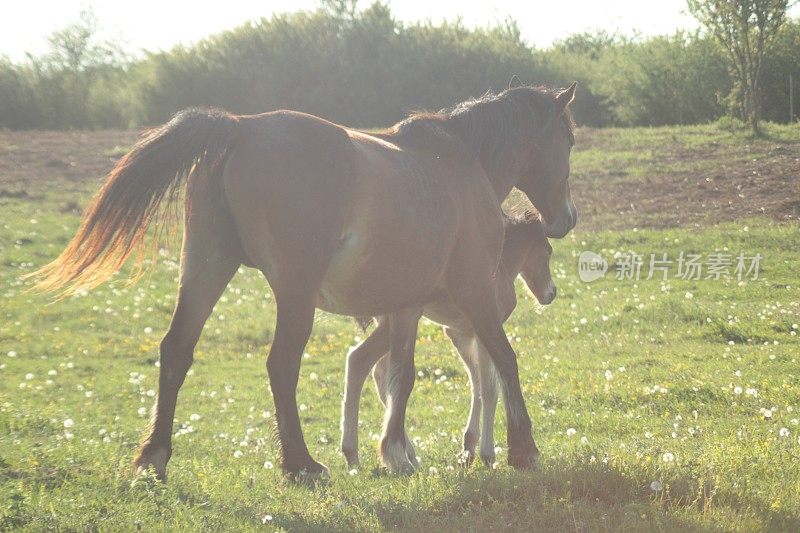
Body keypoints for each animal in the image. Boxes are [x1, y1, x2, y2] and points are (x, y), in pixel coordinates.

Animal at [340, 214, 556, 468]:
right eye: (548, 251)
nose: (551, 293)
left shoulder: (459, 334)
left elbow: (477, 384)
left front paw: (468, 448)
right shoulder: (484, 330)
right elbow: (489, 386)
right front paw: (488, 454)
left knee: (378, 372)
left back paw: (399, 454)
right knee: (361, 360)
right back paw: (367, 454)